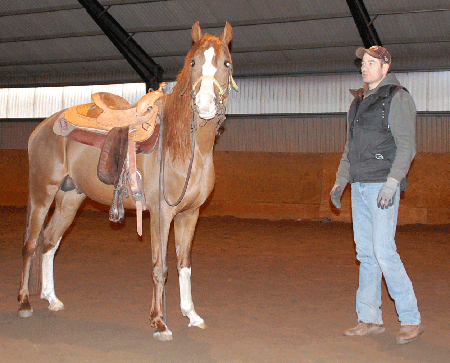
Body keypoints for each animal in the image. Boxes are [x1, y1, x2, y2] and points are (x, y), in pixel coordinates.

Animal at [16, 22, 236, 342]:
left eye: (226, 63)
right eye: (193, 62)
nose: (205, 105)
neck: (185, 149)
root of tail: (43, 126)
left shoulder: (190, 215)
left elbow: (184, 266)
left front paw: (192, 315)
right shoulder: (161, 214)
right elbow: (160, 268)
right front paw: (159, 322)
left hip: (70, 199)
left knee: (49, 241)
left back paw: (52, 298)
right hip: (42, 192)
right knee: (31, 243)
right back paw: (24, 302)